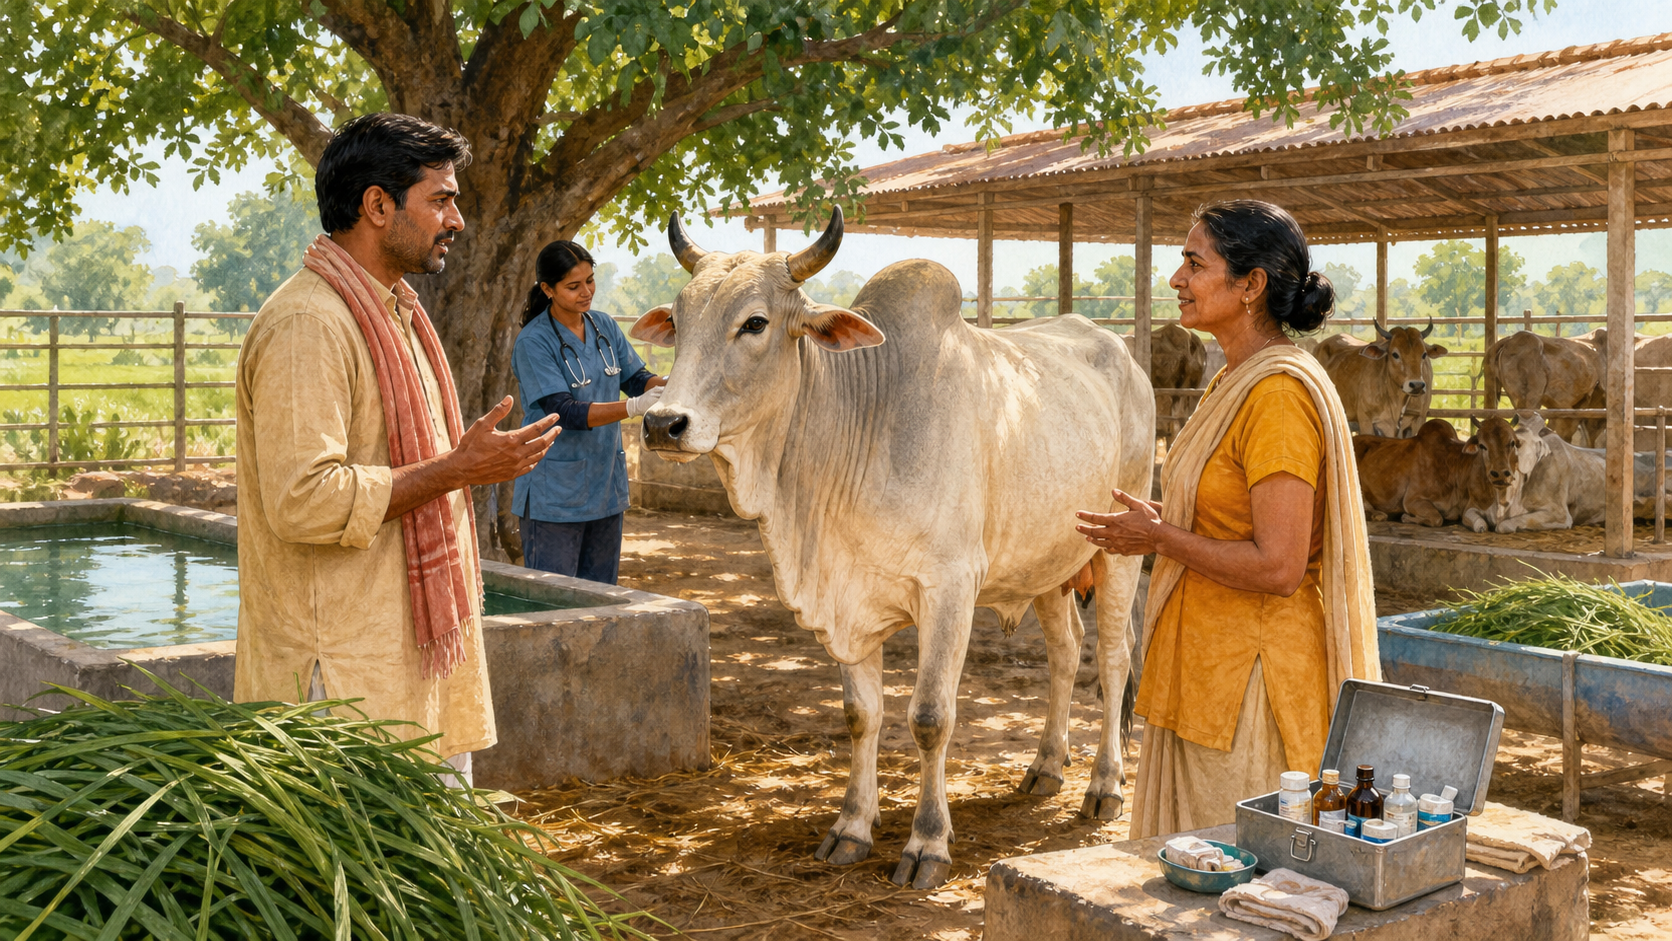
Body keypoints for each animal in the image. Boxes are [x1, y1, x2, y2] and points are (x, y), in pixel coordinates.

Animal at [632, 210, 1152, 889]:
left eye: (755, 322)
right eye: (679, 317)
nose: (662, 423)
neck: (864, 423)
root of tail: (1125, 357)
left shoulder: (950, 588)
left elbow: (930, 718)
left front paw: (927, 843)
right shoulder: (848, 602)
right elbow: (862, 714)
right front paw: (852, 828)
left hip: (1121, 545)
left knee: (1113, 659)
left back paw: (1104, 785)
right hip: (1046, 566)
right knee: (1065, 654)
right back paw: (1044, 767)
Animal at [1354, 417, 1521, 531]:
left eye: (1512, 443)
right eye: (1482, 445)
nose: (1500, 474)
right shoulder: (1412, 500)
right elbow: (1436, 519)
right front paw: (1406, 517)